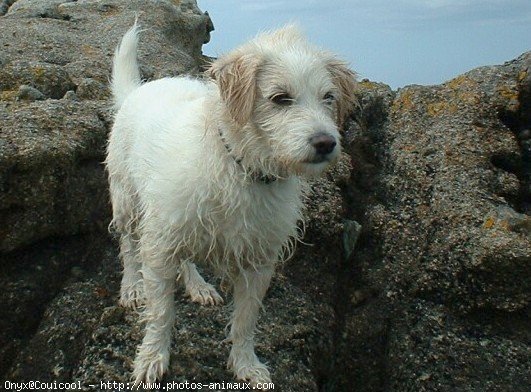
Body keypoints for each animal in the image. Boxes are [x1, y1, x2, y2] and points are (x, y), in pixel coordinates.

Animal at [106, 22, 358, 386]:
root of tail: (137, 91)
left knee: (186, 259)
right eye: (280, 98)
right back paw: (131, 287)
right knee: (127, 244)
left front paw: (246, 365)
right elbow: (162, 313)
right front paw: (152, 357)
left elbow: (244, 322)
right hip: (127, 200)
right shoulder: (160, 245)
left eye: (329, 97)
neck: (241, 168)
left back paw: (197, 285)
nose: (326, 143)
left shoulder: (259, 262)